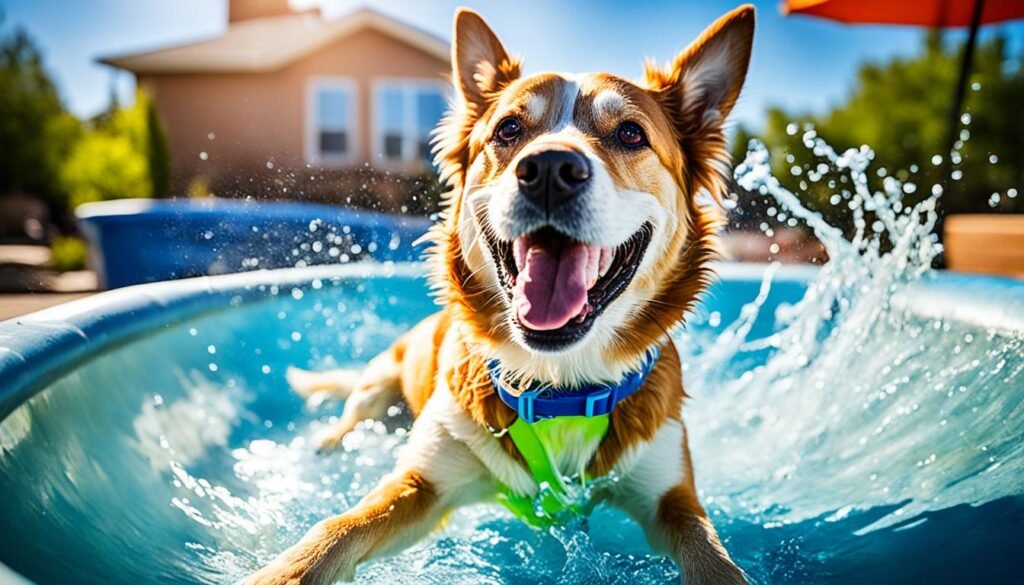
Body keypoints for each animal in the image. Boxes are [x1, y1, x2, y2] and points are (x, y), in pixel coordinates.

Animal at [246, 5, 753, 585]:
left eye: (630, 133)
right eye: (509, 128)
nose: (551, 169)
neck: (559, 386)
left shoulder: (671, 494)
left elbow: (713, 557)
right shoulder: (421, 483)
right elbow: (336, 529)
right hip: (377, 384)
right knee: (352, 413)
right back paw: (329, 441)